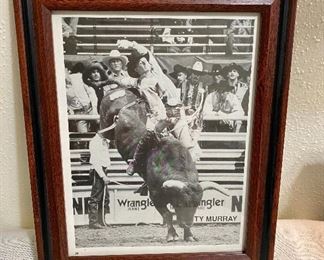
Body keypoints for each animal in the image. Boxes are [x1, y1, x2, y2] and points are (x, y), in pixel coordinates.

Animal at [100, 87, 229, 242]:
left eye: (196, 204)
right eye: (180, 203)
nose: (187, 223)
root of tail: (121, 91)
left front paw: (189, 235)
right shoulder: (155, 196)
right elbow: (167, 214)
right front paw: (172, 235)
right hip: (105, 121)